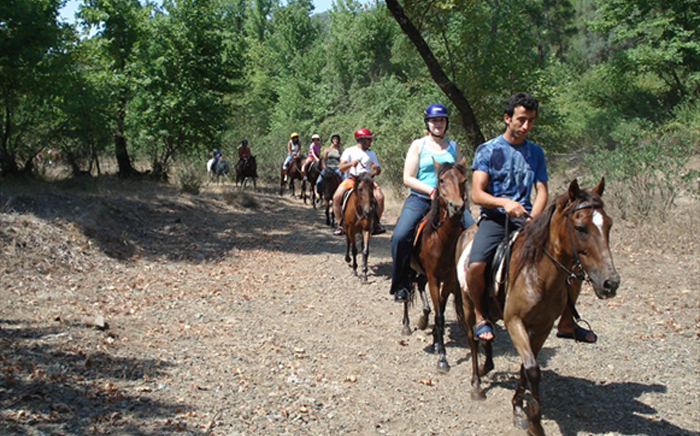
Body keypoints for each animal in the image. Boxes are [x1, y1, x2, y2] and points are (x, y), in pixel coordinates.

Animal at [402, 160, 469, 373]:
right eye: (441, 180)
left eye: (464, 181)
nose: (457, 207)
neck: (442, 240)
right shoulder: (434, 278)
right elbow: (439, 315)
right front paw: (442, 358)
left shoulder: (448, 280)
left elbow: (441, 311)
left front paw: (436, 343)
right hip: (410, 269)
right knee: (406, 292)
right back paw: (406, 325)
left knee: (420, 287)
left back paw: (424, 318)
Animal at [454, 178, 620, 436]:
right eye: (580, 227)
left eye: (609, 225)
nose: (610, 283)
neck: (538, 275)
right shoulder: (515, 322)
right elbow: (532, 368)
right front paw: (534, 422)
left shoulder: (543, 326)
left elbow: (527, 366)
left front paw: (518, 407)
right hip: (468, 302)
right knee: (473, 339)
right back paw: (477, 385)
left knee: (487, 335)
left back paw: (486, 366)